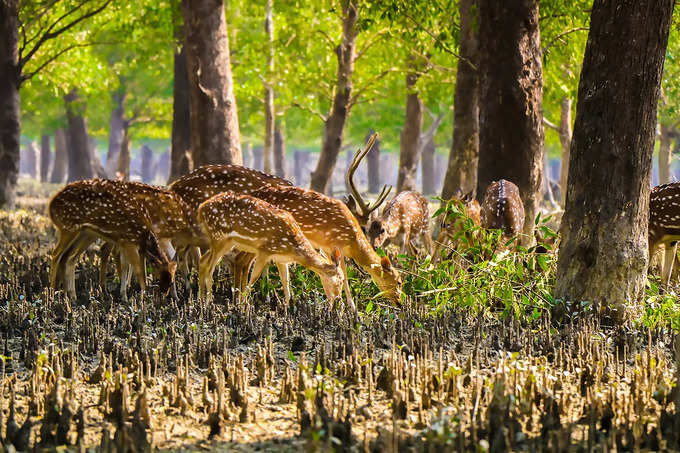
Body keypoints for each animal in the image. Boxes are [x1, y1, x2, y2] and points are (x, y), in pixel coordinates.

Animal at [48, 178, 177, 302]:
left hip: (84, 233)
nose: (163, 295)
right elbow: (138, 270)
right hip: (68, 227)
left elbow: (132, 268)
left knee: (70, 257)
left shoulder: (126, 243)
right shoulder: (128, 241)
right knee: (56, 254)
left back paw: (70, 296)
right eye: (158, 278)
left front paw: (126, 295)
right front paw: (142, 296)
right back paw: (52, 295)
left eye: (171, 281)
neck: (144, 235)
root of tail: (50, 206)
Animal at [197, 191, 346, 304]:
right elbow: (254, 277)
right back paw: (208, 302)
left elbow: (286, 283)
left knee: (203, 261)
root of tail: (201, 209)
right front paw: (243, 306)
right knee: (210, 267)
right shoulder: (265, 250)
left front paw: (288, 309)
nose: (338, 300)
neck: (293, 249)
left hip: (225, 241)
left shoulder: (281, 258)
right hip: (219, 236)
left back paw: (200, 301)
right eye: (340, 280)